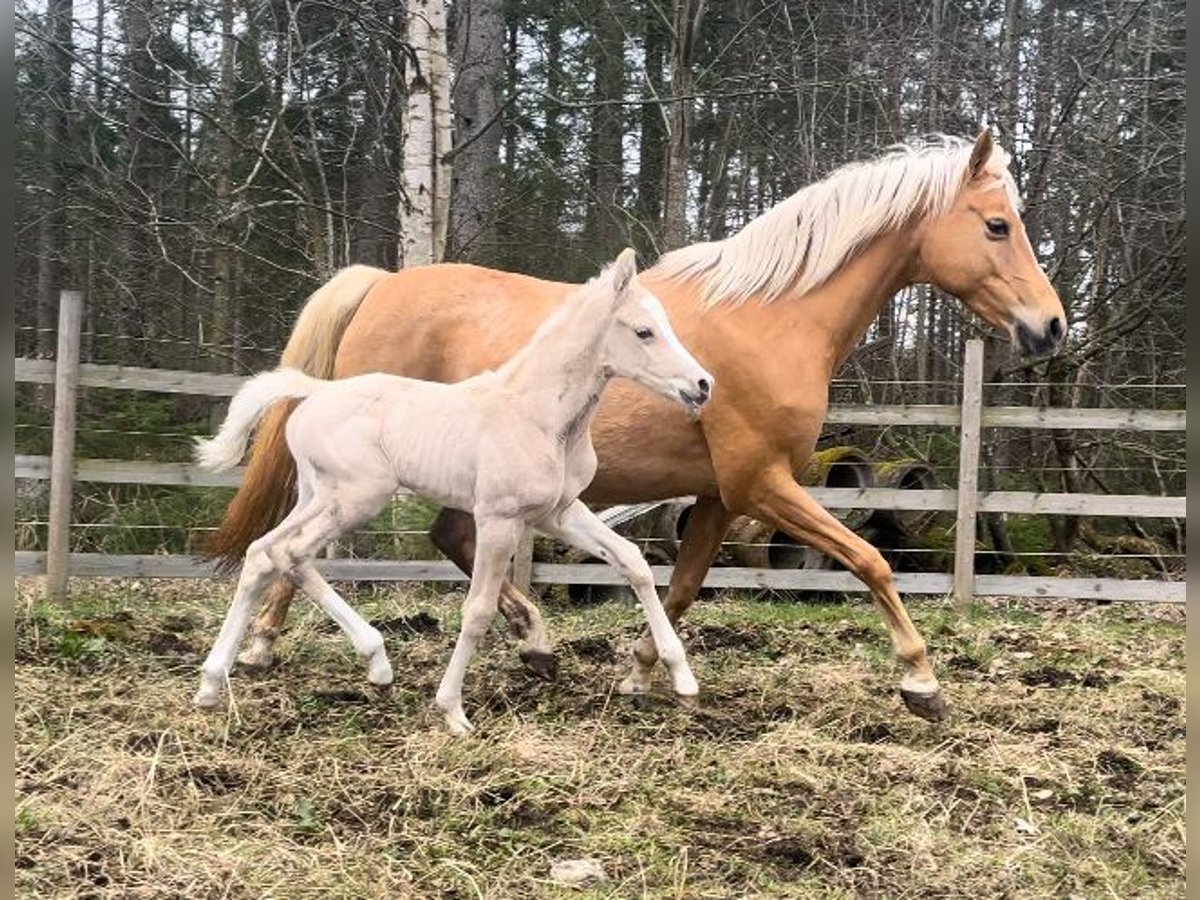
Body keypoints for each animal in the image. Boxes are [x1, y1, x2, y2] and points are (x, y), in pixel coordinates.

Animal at [189, 248, 710, 734]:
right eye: (644, 331)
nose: (703, 385)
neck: (538, 416)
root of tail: (314, 393)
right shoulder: (499, 519)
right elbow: (477, 610)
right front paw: (453, 711)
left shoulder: (557, 513)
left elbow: (634, 562)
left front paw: (682, 679)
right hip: (355, 500)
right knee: (289, 554)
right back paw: (365, 662)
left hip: (319, 498)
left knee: (266, 554)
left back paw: (218, 684)